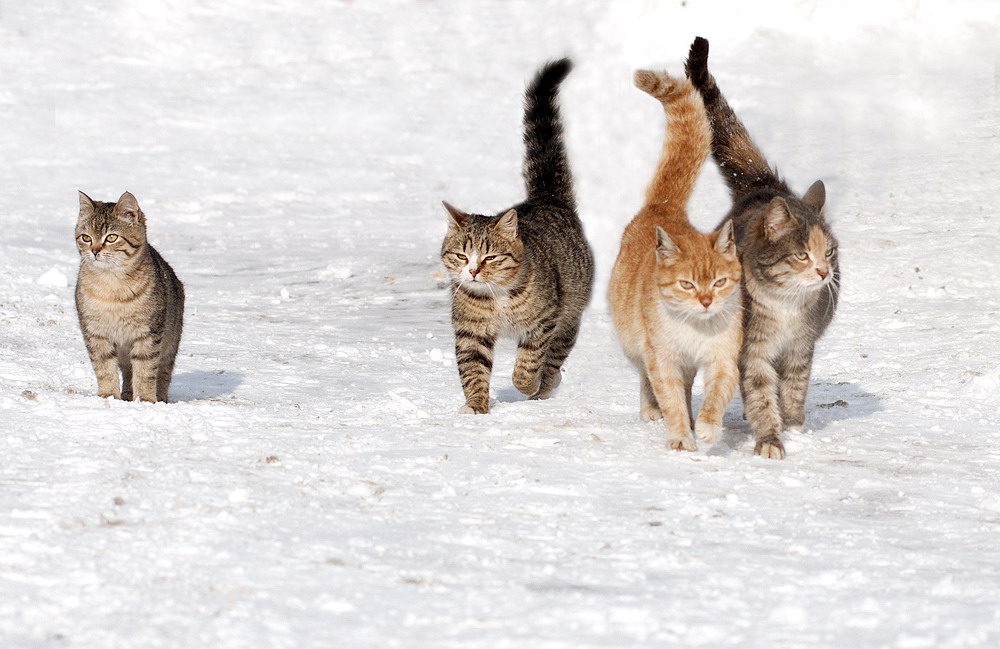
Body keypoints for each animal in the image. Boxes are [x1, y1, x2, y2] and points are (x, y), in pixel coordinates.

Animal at [74, 190, 186, 402]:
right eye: (86, 237)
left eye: (111, 237)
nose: (94, 250)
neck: (111, 287)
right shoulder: (95, 333)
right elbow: (104, 368)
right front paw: (108, 396)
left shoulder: (148, 334)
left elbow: (146, 370)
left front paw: (146, 400)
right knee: (127, 371)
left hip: (170, 343)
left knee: (163, 372)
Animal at [440, 60, 592, 416]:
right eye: (461, 255)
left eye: (491, 256)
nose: (473, 271)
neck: (495, 296)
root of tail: (546, 198)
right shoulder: (471, 330)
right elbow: (473, 369)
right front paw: (476, 406)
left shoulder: (543, 321)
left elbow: (530, 361)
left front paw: (526, 385)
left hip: (570, 314)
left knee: (555, 356)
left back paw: (546, 385)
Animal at [608, 67, 744, 450]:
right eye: (686, 284)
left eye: (719, 282)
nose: (706, 301)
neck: (695, 328)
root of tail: (662, 208)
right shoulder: (663, 359)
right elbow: (670, 398)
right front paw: (682, 436)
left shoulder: (723, 358)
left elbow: (715, 396)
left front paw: (708, 426)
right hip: (635, 346)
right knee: (646, 380)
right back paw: (652, 411)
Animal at [684, 36, 840, 460]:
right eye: (802, 254)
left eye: (830, 252)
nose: (824, 272)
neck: (786, 306)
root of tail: (764, 187)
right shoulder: (751, 352)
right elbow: (760, 395)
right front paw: (770, 439)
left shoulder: (800, 348)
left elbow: (794, 391)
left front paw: (794, 428)